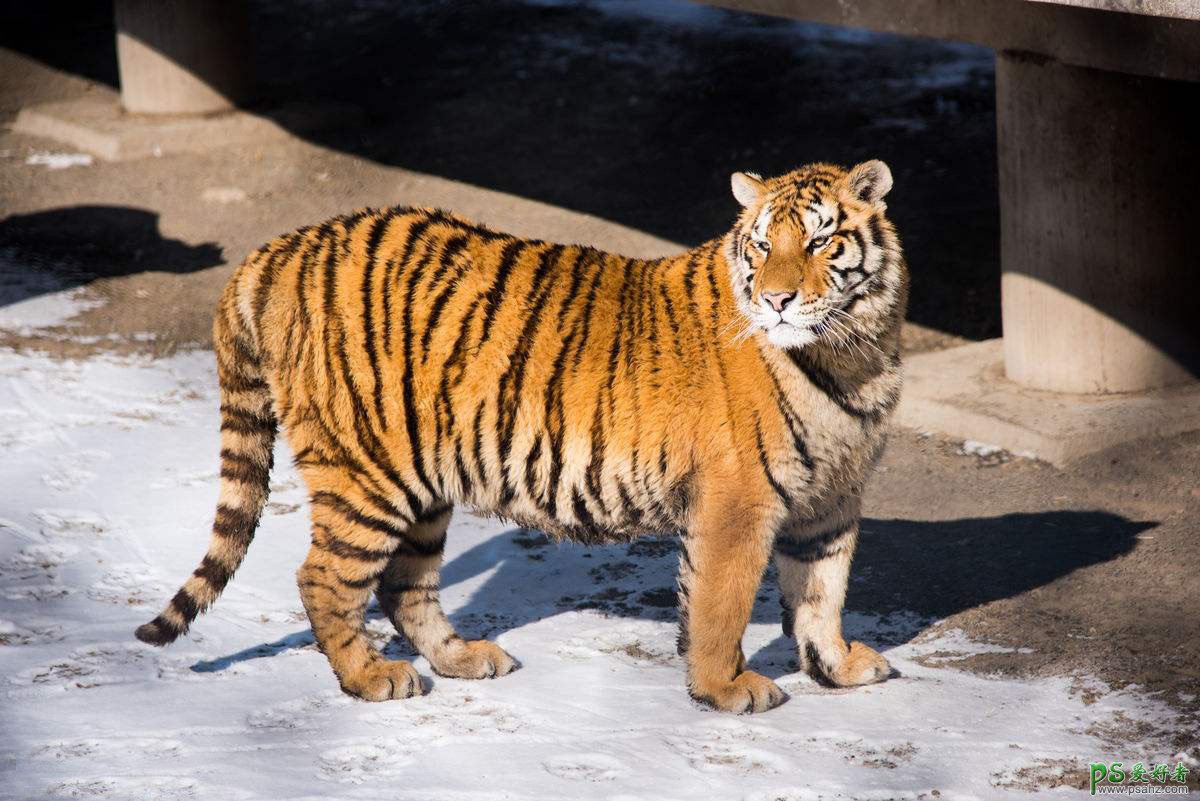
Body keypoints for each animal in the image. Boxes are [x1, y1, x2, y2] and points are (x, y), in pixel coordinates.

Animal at [136, 160, 902, 714]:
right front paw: (725, 688)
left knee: (405, 585)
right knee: (325, 577)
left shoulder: (832, 501)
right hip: (367, 475)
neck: (852, 358)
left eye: (821, 241)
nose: (776, 300)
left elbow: (822, 593)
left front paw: (839, 666)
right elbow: (723, 603)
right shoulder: (737, 504)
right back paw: (371, 677)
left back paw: (461, 659)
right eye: (762, 245)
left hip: (422, 486)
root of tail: (281, 246)